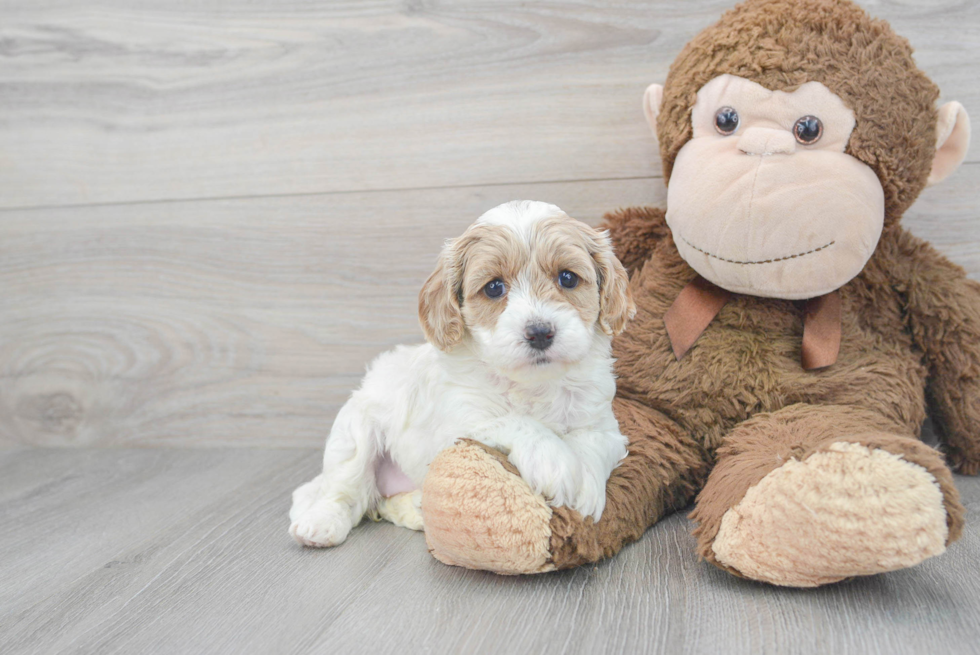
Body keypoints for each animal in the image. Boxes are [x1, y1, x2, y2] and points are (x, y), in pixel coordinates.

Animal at [288, 201, 636, 548]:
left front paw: (586, 486)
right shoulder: (460, 420)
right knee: (344, 490)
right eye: (494, 287)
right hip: (355, 432)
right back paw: (321, 523)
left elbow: (592, 442)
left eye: (567, 278)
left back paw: (417, 509)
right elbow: (515, 421)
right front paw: (554, 461)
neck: (532, 384)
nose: (539, 332)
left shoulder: (605, 425)